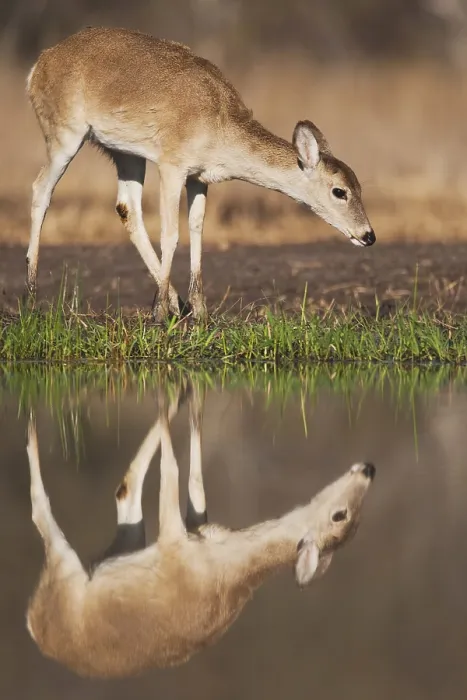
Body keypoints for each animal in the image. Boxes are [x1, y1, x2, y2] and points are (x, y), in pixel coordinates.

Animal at [25, 384, 375, 679]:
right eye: (343, 517)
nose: (369, 468)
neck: (225, 563)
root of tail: (34, 626)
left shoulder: (173, 538)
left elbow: (172, 470)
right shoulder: (196, 525)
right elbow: (196, 484)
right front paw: (190, 399)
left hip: (72, 566)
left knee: (47, 507)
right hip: (123, 542)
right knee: (125, 489)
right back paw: (180, 394)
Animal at [26, 26, 376, 321]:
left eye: (359, 186)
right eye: (339, 191)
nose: (368, 235)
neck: (218, 119)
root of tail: (40, 63)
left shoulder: (199, 178)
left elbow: (197, 230)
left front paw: (199, 311)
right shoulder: (171, 167)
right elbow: (171, 234)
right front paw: (158, 315)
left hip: (126, 155)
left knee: (127, 208)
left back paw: (176, 303)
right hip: (65, 139)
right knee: (41, 189)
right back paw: (32, 295)